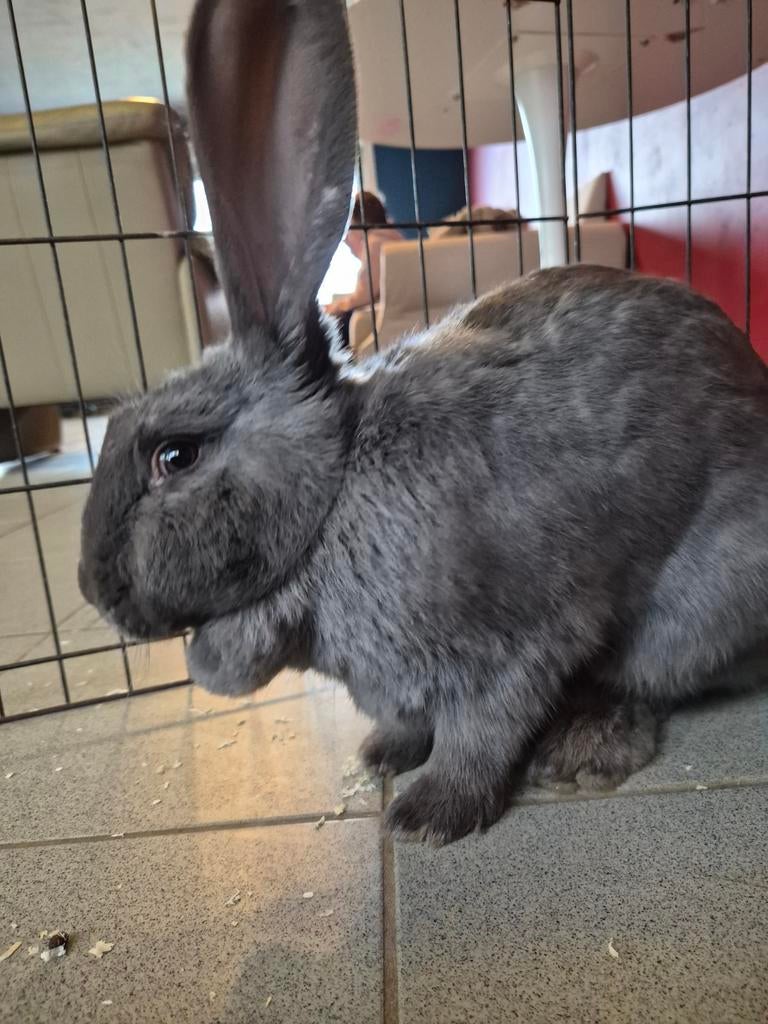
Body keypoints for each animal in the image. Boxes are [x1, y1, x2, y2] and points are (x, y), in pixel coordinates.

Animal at [79, 0, 768, 846]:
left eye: (175, 457)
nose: (94, 590)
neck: (335, 492)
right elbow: (412, 722)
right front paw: (383, 755)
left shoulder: (510, 646)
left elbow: (482, 730)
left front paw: (427, 815)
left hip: (699, 601)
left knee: (649, 681)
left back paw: (582, 747)